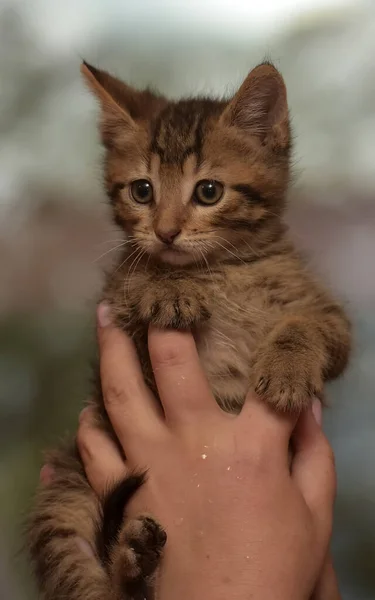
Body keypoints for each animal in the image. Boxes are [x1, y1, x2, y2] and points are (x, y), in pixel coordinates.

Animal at [26, 62, 352, 600]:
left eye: (208, 192)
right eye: (142, 191)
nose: (165, 232)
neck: (220, 269)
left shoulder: (328, 315)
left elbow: (309, 326)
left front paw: (288, 369)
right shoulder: (118, 314)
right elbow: (136, 283)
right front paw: (166, 286)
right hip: (65, 491)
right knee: (88, 582)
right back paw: (131, 562)